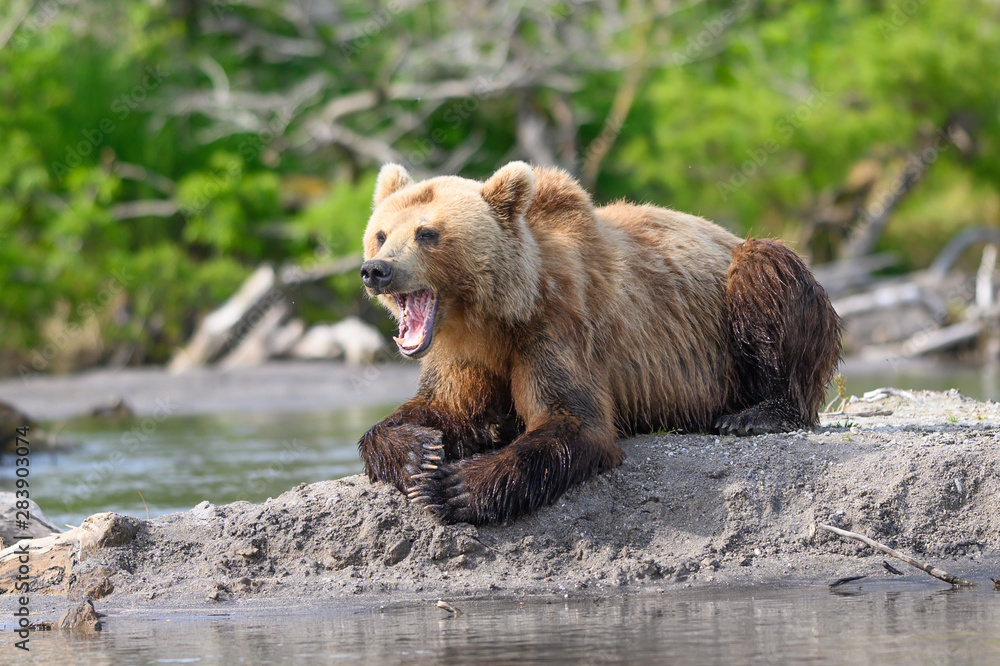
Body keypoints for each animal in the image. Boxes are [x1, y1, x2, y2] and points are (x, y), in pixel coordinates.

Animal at [358, 161, 841, 525]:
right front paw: (416, 452)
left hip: (735, 305)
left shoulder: (556, 326)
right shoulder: (460, 353)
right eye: (381, 233)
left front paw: (453, 488)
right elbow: (444, 407)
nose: (376, 269)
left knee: (766, 269)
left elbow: (573, 421)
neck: (492, 315)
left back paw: (756, 414)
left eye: (427, 233)